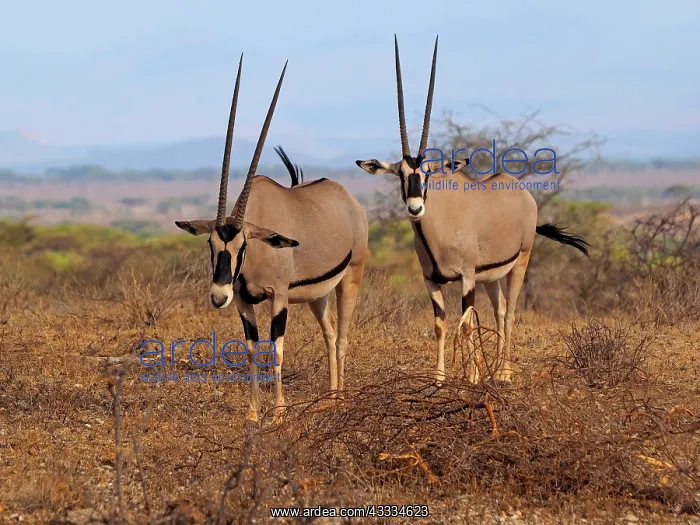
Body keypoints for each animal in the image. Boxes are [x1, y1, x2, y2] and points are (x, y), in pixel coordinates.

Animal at [175, 56, 368, 422]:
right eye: (210, 245)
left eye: (243, 246)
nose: (217, 296)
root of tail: (350, 200)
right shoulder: (242, 299)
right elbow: (252, 348)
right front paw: (253, 411)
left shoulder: (278, 297)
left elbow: (276, 349)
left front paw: (278, 411)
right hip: (316, 295)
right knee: (329, 332)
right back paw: (330, 396)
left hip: (350, 278)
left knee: (342, 338)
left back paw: (340, 399)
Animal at [355, 36, 589, 384]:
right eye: (399, 174)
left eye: (428, 174)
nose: (415, 208)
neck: (439, 228)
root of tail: (522, 193)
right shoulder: (432, 280)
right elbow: (441, 324)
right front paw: (440, 378)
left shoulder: (466, 278)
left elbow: (465, 324)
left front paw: (471, 377)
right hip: (491, 276)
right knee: (500, 309)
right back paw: (497, 368)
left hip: (520, 261)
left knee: (511, 312)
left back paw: (503, 373)